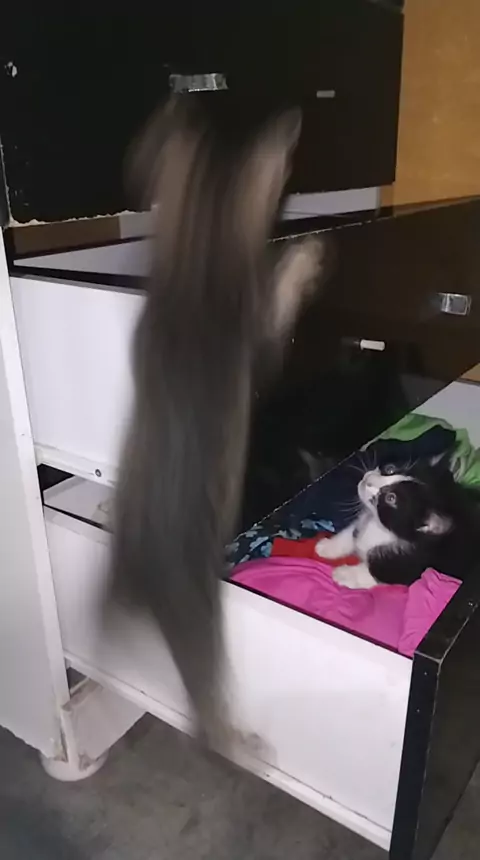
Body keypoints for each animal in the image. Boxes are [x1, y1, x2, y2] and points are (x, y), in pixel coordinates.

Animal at [109, 96, 326, 747]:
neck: (198, 264)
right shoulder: (261, 342)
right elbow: (276, 322)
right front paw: (305, 256)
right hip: (203, 620)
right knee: (207, 704)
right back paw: (238, 738)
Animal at [315, 458, 480, 589]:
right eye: (390, 469)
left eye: (391, 498)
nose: (368, 480)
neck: (383, 529)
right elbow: (351, 532)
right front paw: (327, 546)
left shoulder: (415, 564)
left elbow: (379, 574)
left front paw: (343, 574)